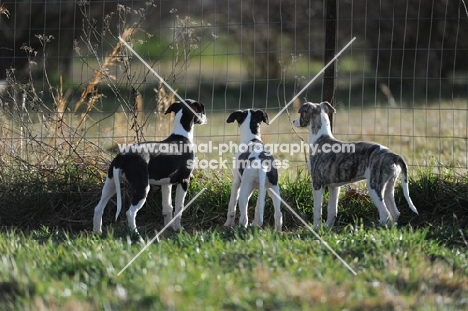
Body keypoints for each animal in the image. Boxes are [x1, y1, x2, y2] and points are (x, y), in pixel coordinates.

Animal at [92, 99, 206, 234]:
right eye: (202, 111)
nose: (205, 119)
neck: (181, 136)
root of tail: (122, 157)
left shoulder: (166, 183)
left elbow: (168, 207)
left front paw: (168, 228)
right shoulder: (184, 181)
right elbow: (179, 207)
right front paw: (178, 228)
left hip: (111, 184)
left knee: (98, 208)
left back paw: (98, 233)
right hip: (142, 187)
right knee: (130, 212)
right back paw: (135, 233)